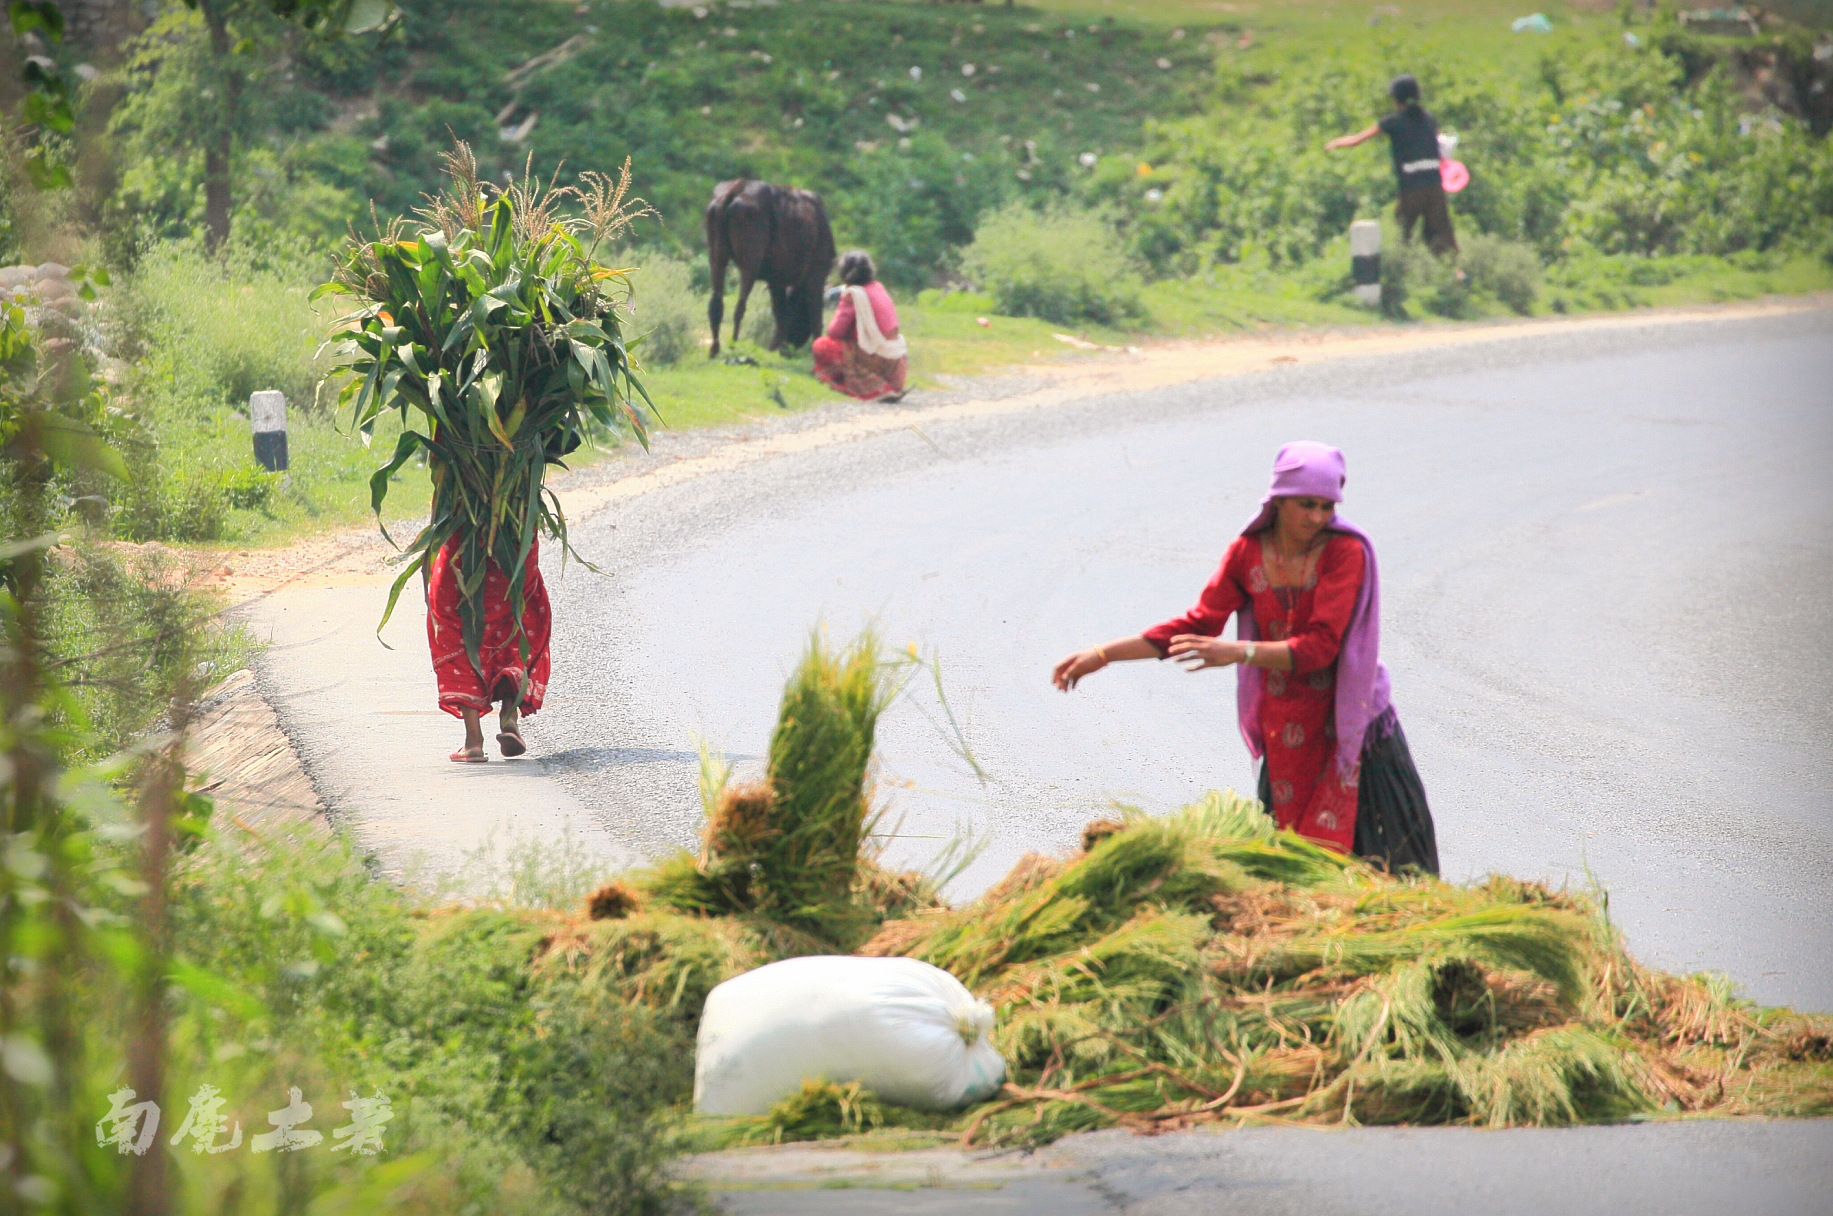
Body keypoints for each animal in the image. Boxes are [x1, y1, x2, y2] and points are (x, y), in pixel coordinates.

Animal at [707, 178, 839, 357]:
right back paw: (733, 344)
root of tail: (737, 187)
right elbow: (815, 318)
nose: (793, 342)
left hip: (717, 259)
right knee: (739, 306)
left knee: (716, 304)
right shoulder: (816, 276)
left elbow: (779, 313)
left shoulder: (776, 281)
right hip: (749, 265)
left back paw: (715, 349)